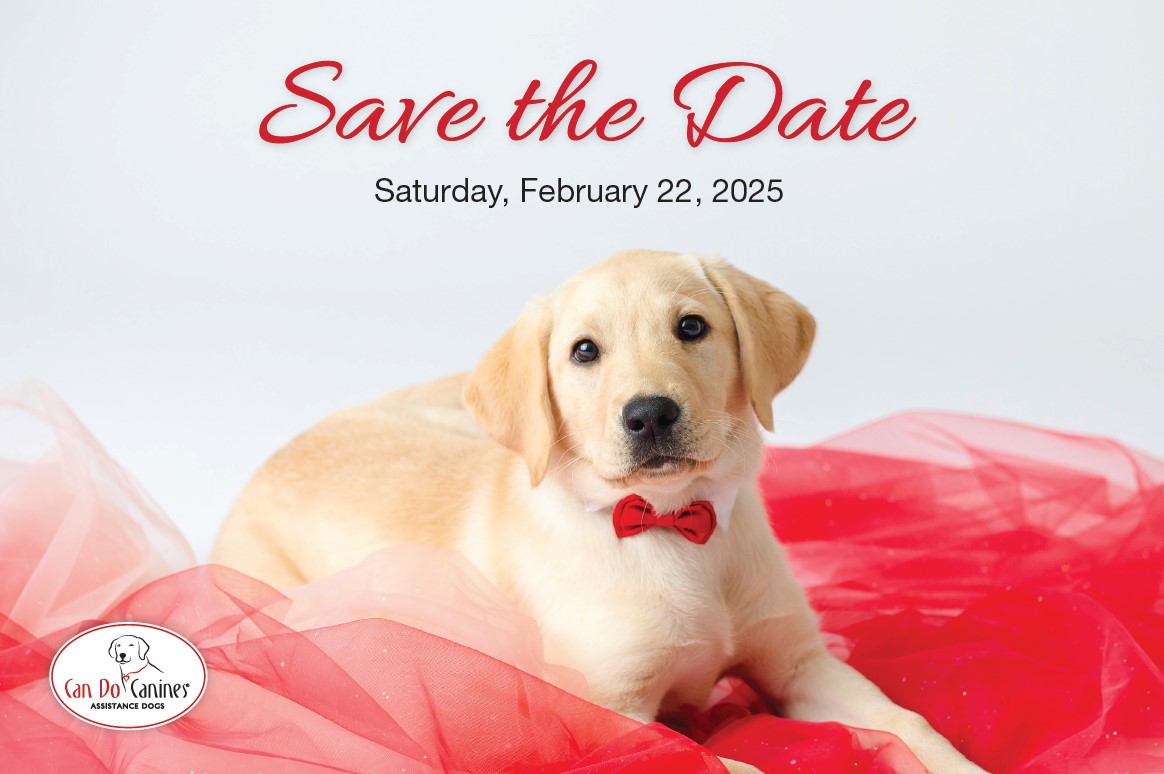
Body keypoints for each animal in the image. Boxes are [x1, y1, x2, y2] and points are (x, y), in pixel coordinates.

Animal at [214, 250, 987, 768]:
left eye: (692, 328)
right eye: (584, 351)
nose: (649, 415)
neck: (673, 525)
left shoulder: (800, 663)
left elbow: (906, 721)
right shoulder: (611, 713)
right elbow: (723, 762)